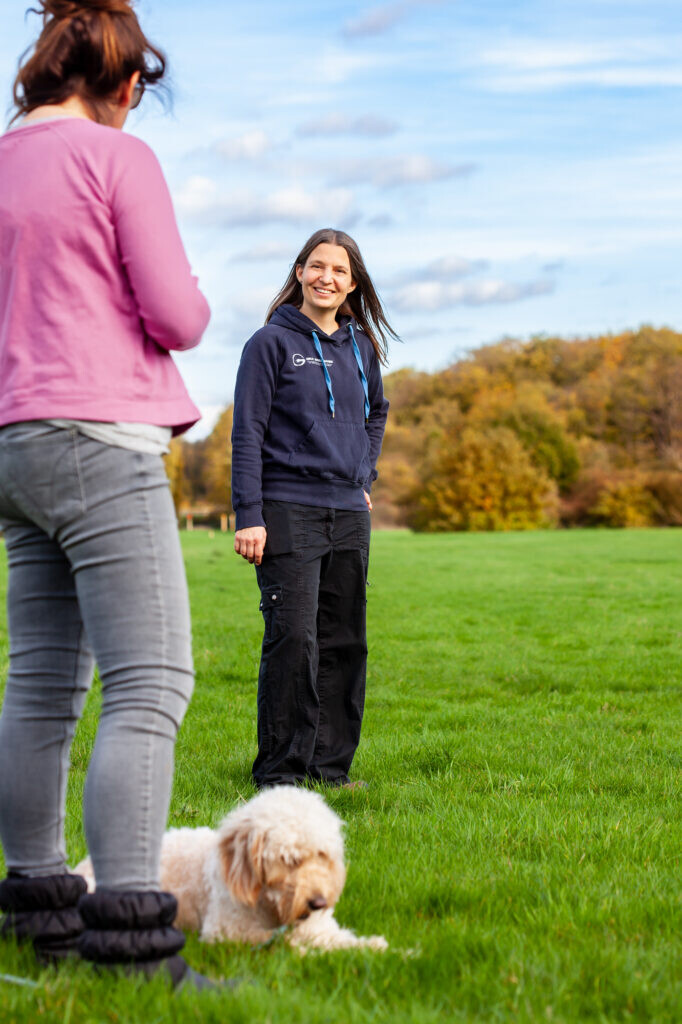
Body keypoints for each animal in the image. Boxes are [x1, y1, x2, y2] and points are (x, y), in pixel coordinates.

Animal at [76, 790, 385, 950]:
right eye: (288, 860)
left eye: (322, 855)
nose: (319, 902)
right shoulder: (228, 931)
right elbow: (284, 943)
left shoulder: (320, 927)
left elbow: (342, 941)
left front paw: (377, 948)